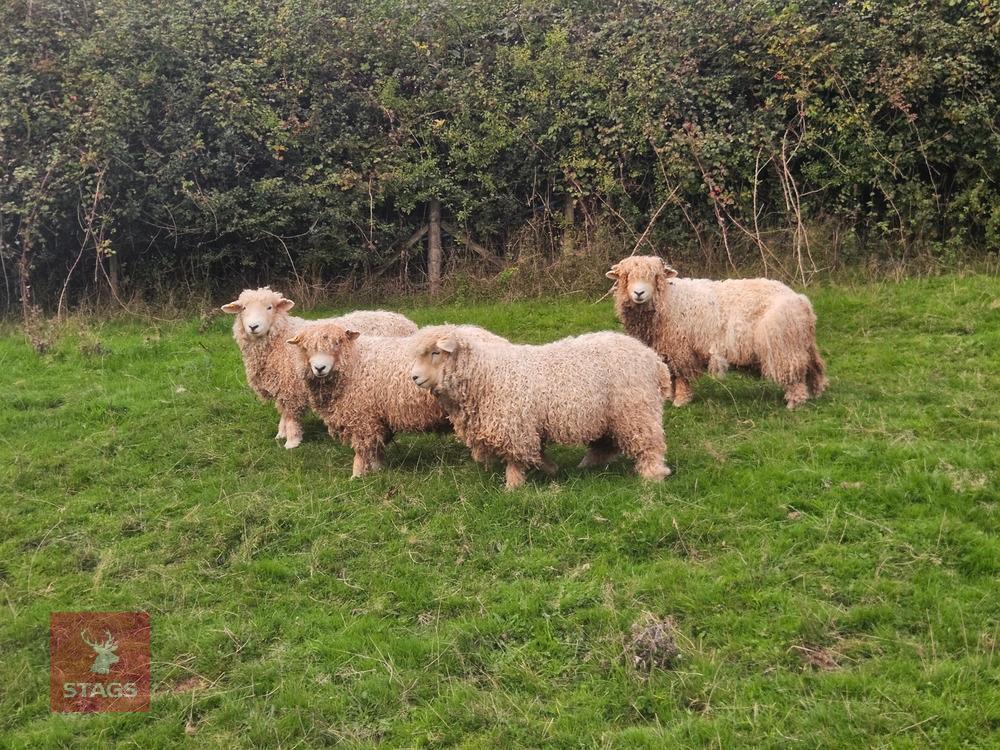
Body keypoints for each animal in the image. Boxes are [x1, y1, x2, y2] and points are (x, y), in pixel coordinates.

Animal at [221, 287, 417, 448]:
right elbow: (283, 412)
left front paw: (292, 441)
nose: (253, 326)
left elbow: (291, 415)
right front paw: (281, 434)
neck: (280, 338)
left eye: (269, 307)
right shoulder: (280, 383)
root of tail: (407, 323)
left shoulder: (291, 386)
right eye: (243, 309)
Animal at [286, 322, 450, 477]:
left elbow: (362, 448)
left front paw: (357, 474)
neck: (355, 363)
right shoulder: (376, 417)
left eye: (338, 343)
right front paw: (378, 469)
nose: (320, 368)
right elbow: (376, 446)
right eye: (306, 347)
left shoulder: (362, 417)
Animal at [409, 325, 673, 489]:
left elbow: (516, 458)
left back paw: (653, 474)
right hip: (610, 413)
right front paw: (549, 467)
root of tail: (653, 360)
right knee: (606, 443)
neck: (485, 374)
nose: (414, 378)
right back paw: (588, 464)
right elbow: (537, 451)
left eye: (435, 353)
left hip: (635, 409)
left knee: (649, 443)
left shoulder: (515, 425)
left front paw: (513, 486)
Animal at [606, 256, 828, 409]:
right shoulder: (665, 349)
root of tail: (800, 299)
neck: (669, 299)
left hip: (783, 344)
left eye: (655, 276)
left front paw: (680, 400)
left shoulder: (680, 348)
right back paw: (816, 392)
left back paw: (795, 402)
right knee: (813, 366)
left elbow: (682, 376)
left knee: (794, 374)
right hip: (800, 341)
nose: (639, 293)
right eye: (626, 277)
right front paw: (668, 397)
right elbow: (670, 374)